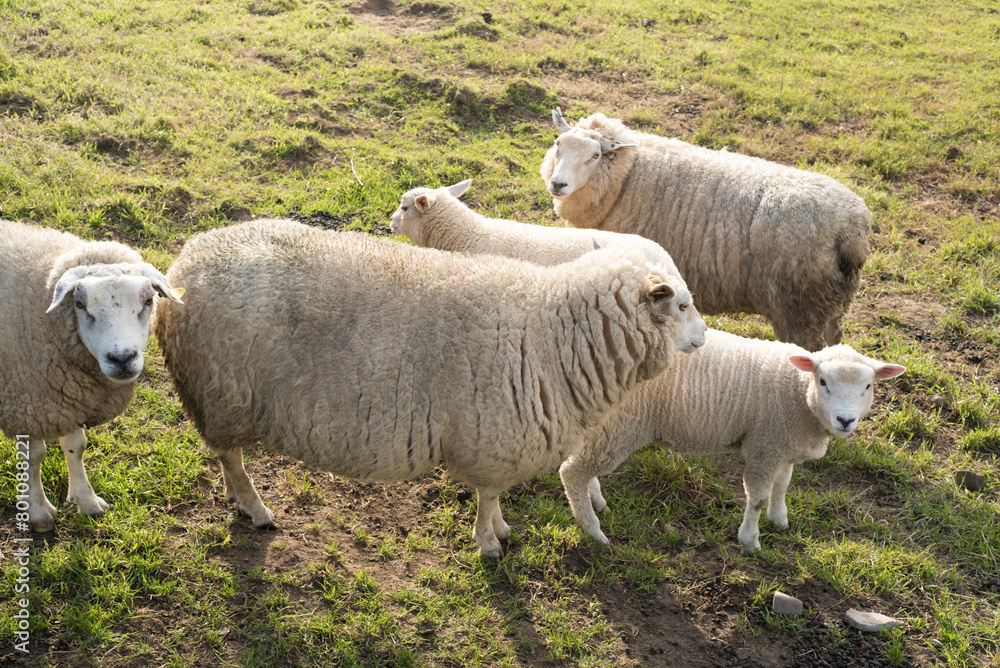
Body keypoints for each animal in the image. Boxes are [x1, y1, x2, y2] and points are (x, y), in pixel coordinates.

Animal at [0, 219, 185, 531]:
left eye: (148, 300)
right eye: (80, 304)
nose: (122, 358)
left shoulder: (68, 396)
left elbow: (76, 446)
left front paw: (86, 501)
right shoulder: (27, 401)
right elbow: (33, 456)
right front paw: (37, 512)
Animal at [154, 218, 691, 559]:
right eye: (682, 305)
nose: (703, 338)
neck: (552, 331)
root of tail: (187, 260)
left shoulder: (497, 442)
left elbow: (494, 498)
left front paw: (500, 531)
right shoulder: (492, 440)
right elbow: (488, 497)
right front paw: (490, 542)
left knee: (226, 457)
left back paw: (242, 503)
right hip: (222, 394)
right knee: (231, 457)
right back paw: (255, 508)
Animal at [540, 108, 872, 351]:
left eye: (594, 156)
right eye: (558, 145)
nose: (558, 184)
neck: (628, 174)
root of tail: (853, 229)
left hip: (800, 308)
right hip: (831, 302)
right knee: (835, 339)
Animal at [557, 328, 905, 555]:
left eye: (868, 386)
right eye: (822, 381)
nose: (845, 420)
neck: (796, 390)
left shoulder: (783, 446)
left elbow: (783, 486)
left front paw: (780, 520)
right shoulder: (765, 446)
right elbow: (758, 497)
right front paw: (750, 541)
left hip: (603, 424)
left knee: (581, 464)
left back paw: (596, 500)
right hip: (619, 426)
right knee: (571, 472)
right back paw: (592, 529)